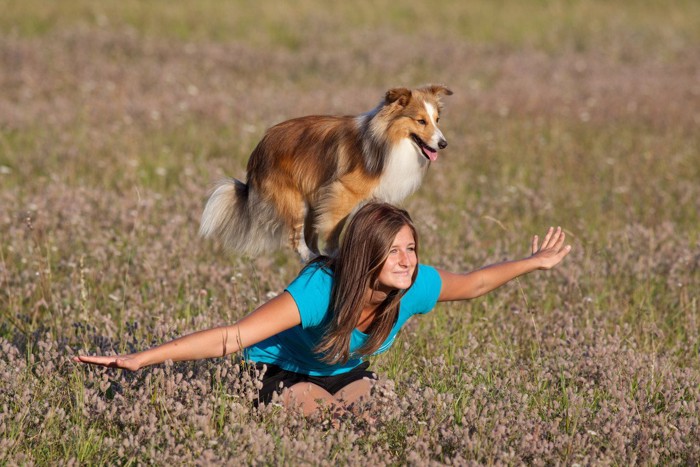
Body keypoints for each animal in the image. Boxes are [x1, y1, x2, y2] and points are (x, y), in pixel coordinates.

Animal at [201, 84, 454, 260]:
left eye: (437, 120)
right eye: (421, 121)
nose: (443, 144)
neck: (390, 140)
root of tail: (259, 149)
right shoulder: (343, 191)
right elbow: (334, 227)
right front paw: (335, 254)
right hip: (295, 200)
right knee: (295, 238)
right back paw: (310, 255)